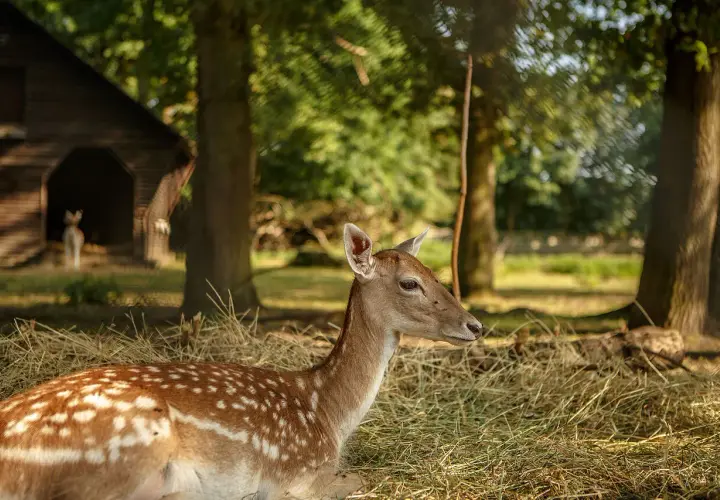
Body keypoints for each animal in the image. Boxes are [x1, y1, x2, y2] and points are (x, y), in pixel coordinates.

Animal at [0, 223, 483, 500]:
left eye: (434, 273)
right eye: (409, 283)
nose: (476, 325)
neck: (327, 414)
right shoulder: (296, 474)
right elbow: (364, 479)